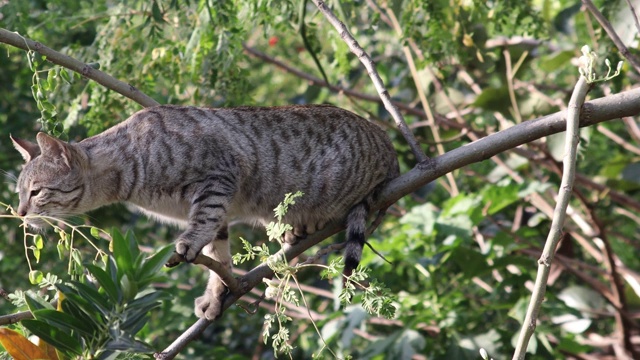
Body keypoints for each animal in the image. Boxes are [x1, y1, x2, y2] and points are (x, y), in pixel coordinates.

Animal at [10, 105, 400, 320]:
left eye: (36, 192)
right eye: (19, 193)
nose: (20, 212)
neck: (125, 170)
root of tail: (389, 145)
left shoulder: (217, 179)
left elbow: (203, 225)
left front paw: (190, 246)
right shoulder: (218, 211)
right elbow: (218, 253)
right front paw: (216, 293)